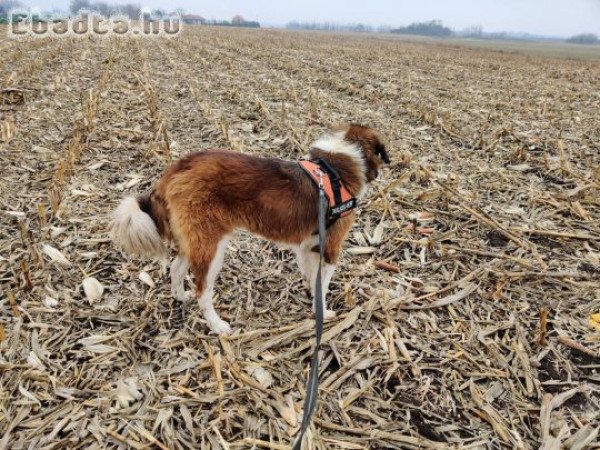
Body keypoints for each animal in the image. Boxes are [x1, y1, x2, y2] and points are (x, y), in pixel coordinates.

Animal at [112, 123, 390, 334]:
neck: (333, 170)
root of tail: (175, 169)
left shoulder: (308, 246)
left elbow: (313, 278)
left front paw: (313, 299)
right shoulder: (330, 247)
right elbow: (322, 283)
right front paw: (323, 311)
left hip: (195, 240)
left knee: (176, 268)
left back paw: (180, 296)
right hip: (213, 249)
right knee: (203, 290)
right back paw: (217, 325)